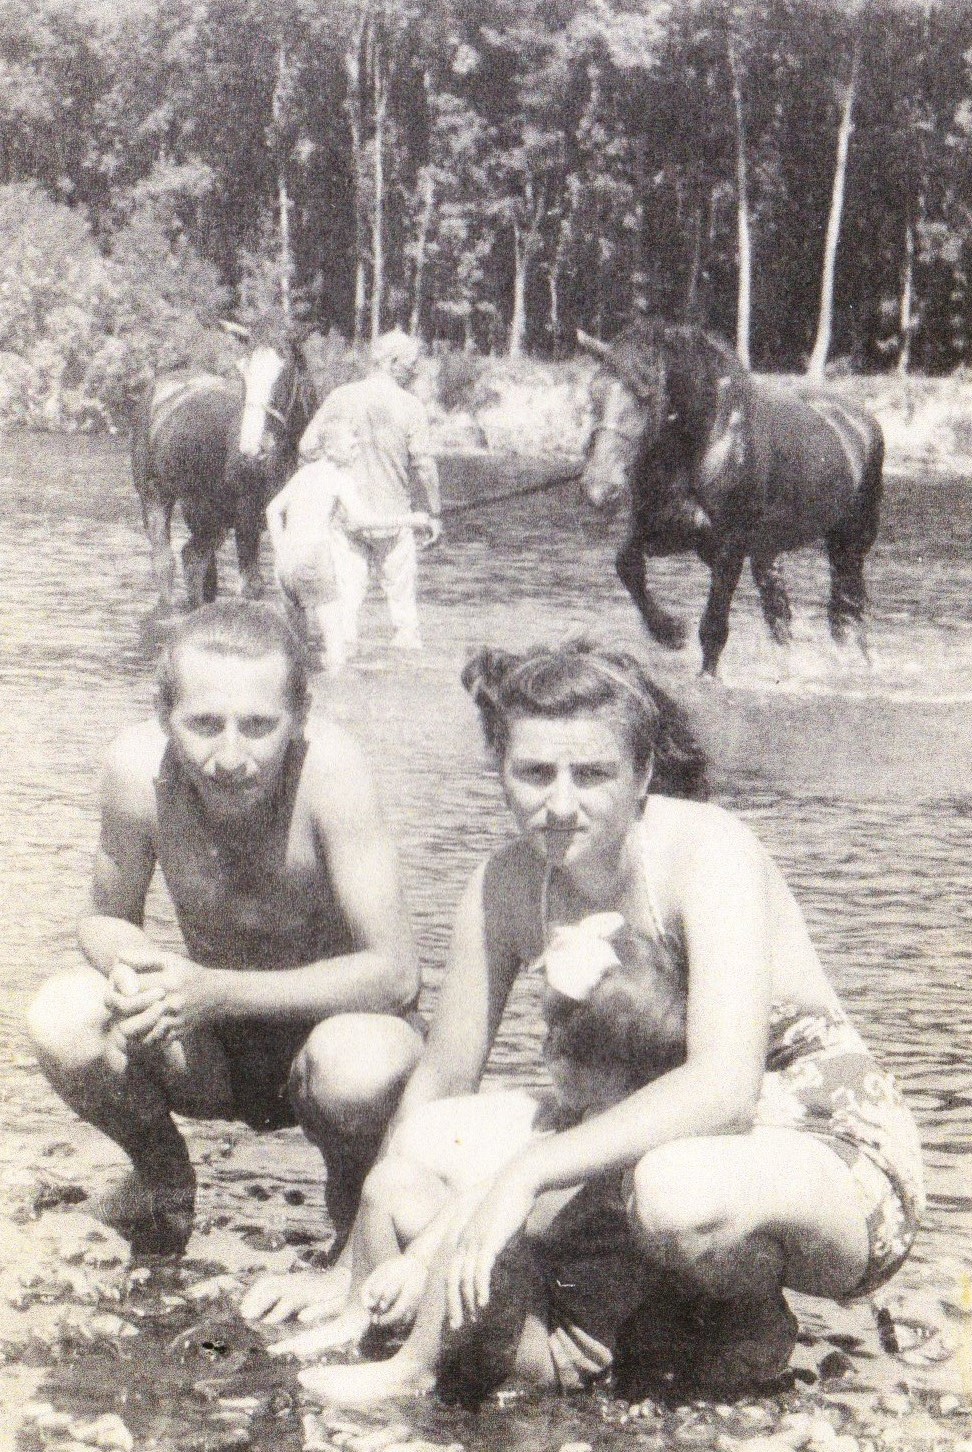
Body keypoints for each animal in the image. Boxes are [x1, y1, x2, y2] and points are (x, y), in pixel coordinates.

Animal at [132, 340, 315, 611]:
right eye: (243, 375)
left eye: (284, 374)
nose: (253, 447)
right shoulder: (247, 516)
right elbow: (252, 586)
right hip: (155, 496)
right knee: (165, 562)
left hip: (208, 515)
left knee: (194, 560)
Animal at [577, 320, 885, 676]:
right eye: (594, 392)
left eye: (645, 394)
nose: (599, 486)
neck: (707, 444)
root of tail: (860, 421)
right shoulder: (657, 530)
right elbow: (627, 566)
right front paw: (670, 632)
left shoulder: (729, 548)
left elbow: (714, 625)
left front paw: (706, 675)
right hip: (768, 550)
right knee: (781, 611)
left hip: (849, 542)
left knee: (849, 605)